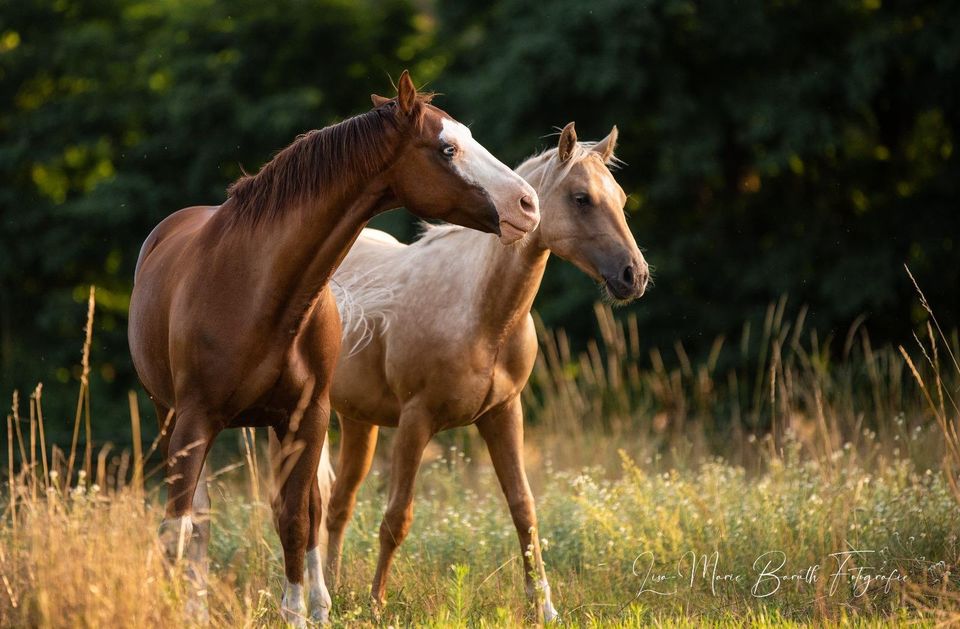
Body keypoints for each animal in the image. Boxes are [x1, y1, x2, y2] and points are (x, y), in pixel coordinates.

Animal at [125, 72, 540, 624]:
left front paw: (300, 612)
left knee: (307, 509)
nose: (528, 204)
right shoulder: (193, 421)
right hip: (169, 415)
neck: (258, 289)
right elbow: (181, 526)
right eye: (447, 148)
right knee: (199, 517)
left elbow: (298, 521)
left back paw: (319, 604)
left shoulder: (309, 417)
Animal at [312, 122, 648, 620]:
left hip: (357, 421)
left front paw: (544, 609)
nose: (634, 275)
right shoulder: (416, 421)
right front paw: (376, 606)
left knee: (338, 504)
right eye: (582, 198)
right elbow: (396, 518)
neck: (480, 311)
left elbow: (524, 510)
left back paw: (333, 588)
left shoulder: (503, 414)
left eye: (622, 198)